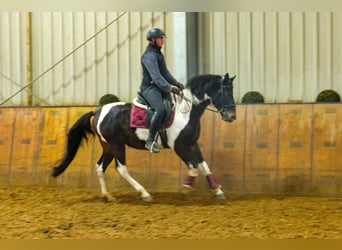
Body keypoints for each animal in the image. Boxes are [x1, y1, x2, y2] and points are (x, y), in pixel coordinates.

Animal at [52, 72, 236, 201]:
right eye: (224, 92)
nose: (232, 116)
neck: (186, 113)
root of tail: (98, 110)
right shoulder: (179, 146)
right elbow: (194, 167)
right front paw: (186, 188)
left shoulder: (192, 144)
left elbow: (204, 166)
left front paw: (218, 190)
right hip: (117, 145)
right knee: (121, 168)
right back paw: (145, 194)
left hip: (108, 147)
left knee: (100, 167)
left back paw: (108, 196)